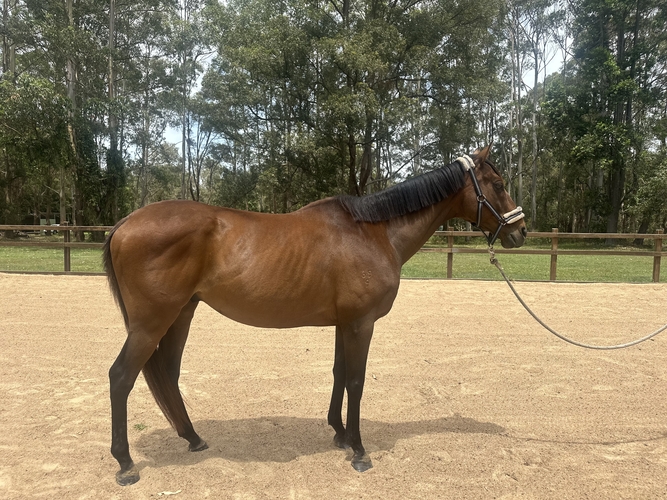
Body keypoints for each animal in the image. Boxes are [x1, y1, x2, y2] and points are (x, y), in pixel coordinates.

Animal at [103, 146, 527, 485]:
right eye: (499, 183)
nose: (520, 231)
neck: (375, 233)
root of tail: (125, 222)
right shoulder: (361, 324)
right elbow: (356, 380)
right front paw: (359, 451)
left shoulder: (345, 323)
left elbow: (339, 374)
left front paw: (340, 433)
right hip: (151, 324)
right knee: (121, 377)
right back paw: (125, 464)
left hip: (180, 315)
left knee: (168, 374)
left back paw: (193, 439)